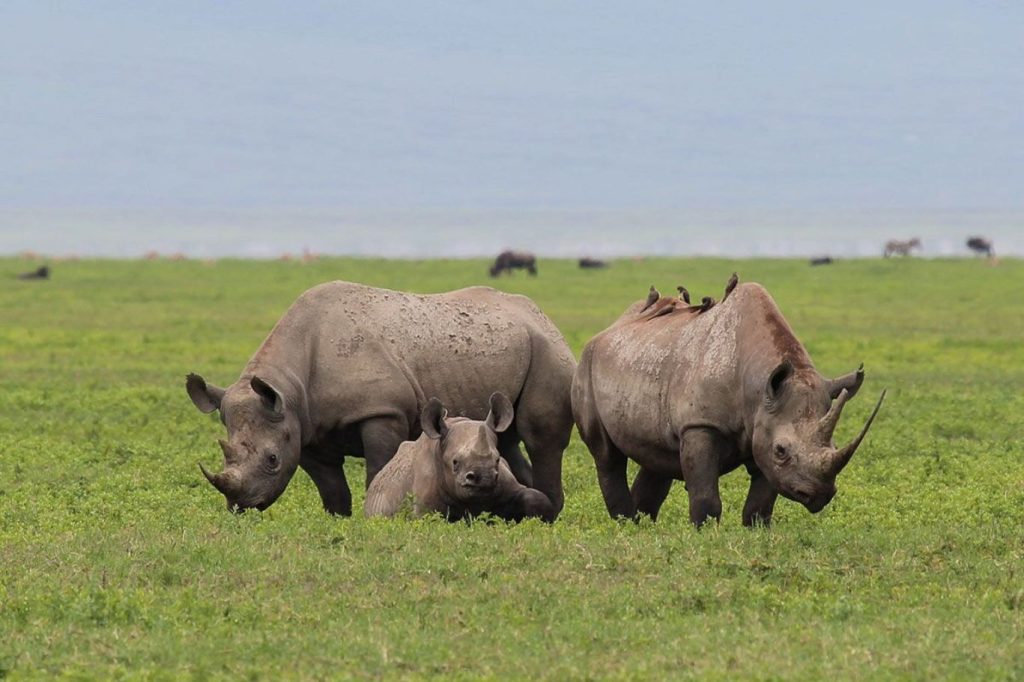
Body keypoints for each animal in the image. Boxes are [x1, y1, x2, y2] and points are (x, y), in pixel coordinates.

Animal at [571, 280, 885, 527]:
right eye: (781, 450)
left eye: (834, 445)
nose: (818, 495)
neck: (757, 385)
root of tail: (611, 327)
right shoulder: (700, 425)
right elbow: (706, 496)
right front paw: (705, 534)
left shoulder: (763, 425)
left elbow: (760, 503)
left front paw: (756, 533)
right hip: (586, 365)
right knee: (607, 456)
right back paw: (625, 524)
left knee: (657, 457)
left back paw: (641, 526)